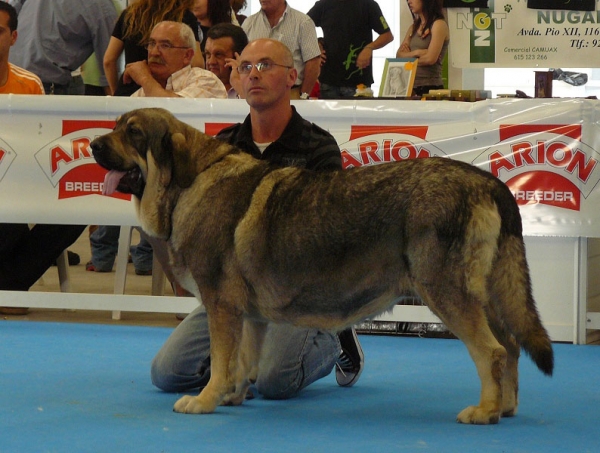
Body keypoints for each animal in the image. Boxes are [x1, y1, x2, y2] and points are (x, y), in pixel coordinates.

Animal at [91, 107, 556, 424]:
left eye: (133, 133)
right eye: (115, 126)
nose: (93, 145)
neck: (190, 181)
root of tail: (489, 183)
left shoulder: (222, 307)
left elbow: (221, 362)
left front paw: (205, 401)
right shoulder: (249, 316)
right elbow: (242, 362)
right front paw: (232, 396)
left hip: (447, 294)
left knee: (492, 351)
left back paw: (485, 410)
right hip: (486, 295)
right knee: (511, 347)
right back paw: (507, 406)